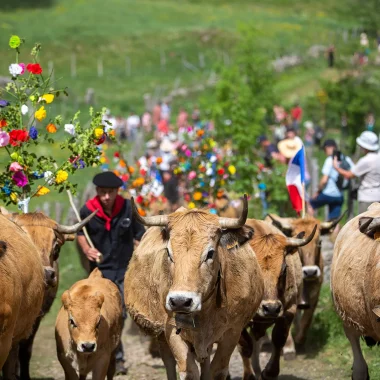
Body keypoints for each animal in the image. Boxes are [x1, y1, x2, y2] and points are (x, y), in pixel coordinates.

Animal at [124, 194, 264, 378]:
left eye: (210, 253)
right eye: (168, 252)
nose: (180, 301)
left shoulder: (232, 332)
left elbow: (217, 370)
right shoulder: (172, 330)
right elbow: (189, 370)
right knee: (168, 362)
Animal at [239, 218, 316, 378]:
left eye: (284, 269)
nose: (271, 308)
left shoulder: (289, 310)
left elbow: (279, 338)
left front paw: (269, 372)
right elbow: (243, 346)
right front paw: (249, 375)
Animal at [268, 214, 344, 348]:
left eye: (319, 242)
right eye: (299, 247)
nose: (310, 272)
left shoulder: (315, 291)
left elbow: (307, 317)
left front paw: (300, 339)